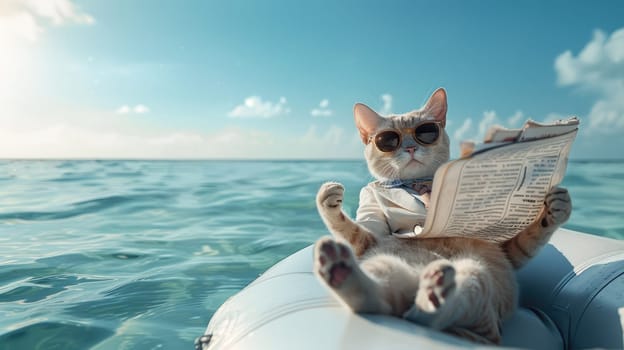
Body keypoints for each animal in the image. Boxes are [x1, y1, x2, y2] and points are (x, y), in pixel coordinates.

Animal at [314, 88, 572, 344]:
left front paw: (555, 207)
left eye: (425, 131)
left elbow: (531, 235)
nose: (410, 147)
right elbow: (350, 229)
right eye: (388, 140)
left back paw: (433, 291)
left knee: (434, 315)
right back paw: (342, 270)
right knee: (381, 302)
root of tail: (416, 280)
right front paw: (328, 199)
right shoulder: (371, 238)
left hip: (474, 276)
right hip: (387, 266)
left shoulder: (507, 250)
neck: (419, 183)